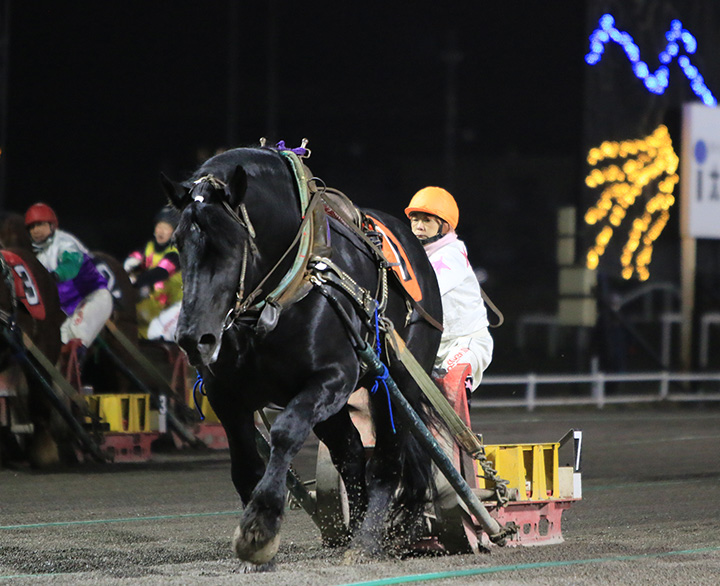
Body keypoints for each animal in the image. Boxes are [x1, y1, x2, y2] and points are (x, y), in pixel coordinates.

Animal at [164, 146, 444, 564]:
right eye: (180, 242)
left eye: (230, 241)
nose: (194, 339)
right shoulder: (226, 395)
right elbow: (245, 465)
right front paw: (253, 526)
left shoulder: (332, 377)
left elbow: (285, 432)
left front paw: (261, 526)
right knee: (350, 452)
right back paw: (353, 528)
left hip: (397, 384)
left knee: (387, 460)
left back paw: (365, 540)